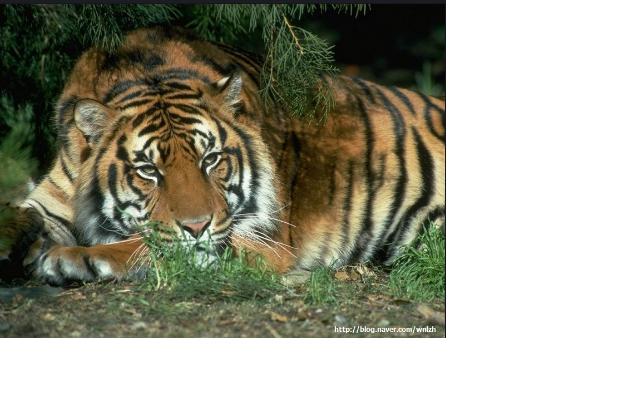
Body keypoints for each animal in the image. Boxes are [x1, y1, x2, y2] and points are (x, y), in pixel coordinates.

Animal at [0, 27, 445, 286]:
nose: (197, 226)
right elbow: (21, 216)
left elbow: (151, 245)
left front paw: (72, 259)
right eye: (148, 170)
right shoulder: (50, 199)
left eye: (210, 159)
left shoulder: (261, 239)